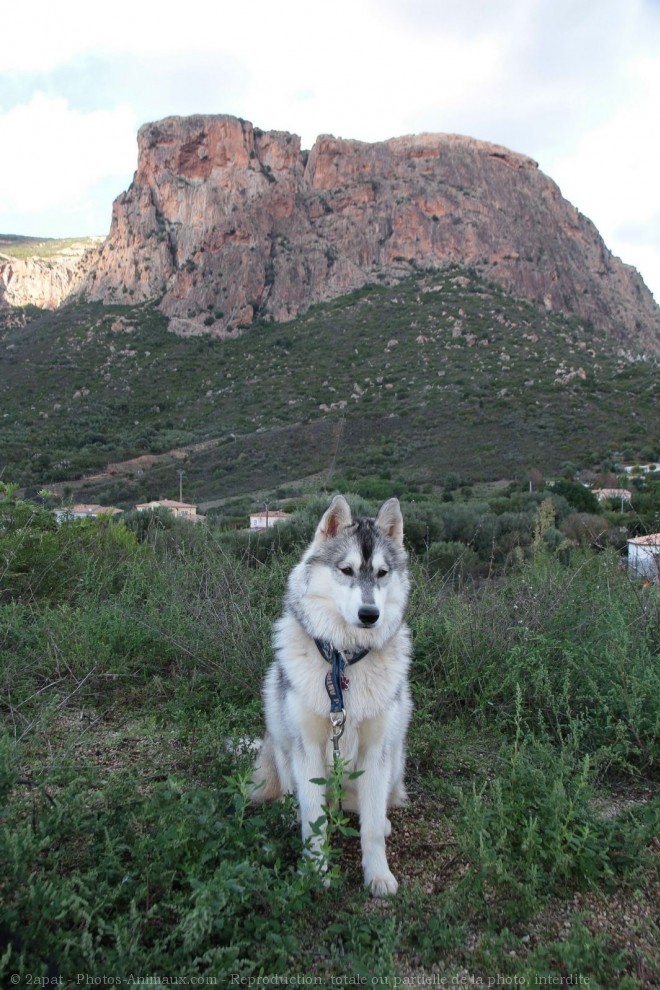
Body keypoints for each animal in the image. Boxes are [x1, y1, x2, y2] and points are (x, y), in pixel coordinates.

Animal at [250, 496, 410, 900]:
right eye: (346, 570)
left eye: (382, 573)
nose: (370, 614)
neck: (343, 663)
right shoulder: (306, 748)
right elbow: (315, 821)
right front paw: (315, 872)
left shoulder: (376, 752)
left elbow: (371, 828)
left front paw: (378, 875)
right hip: (280, 743)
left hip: (396, 756)